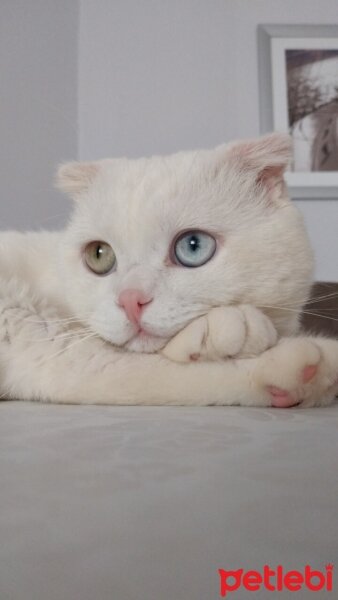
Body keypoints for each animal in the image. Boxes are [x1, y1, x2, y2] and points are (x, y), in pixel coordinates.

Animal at [0, 133, 336, 406]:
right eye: (99, 255)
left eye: (193, 246)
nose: (130, 300)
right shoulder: (52, 348)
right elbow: (178, 374)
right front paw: (295, 363)